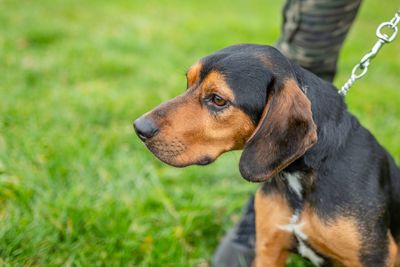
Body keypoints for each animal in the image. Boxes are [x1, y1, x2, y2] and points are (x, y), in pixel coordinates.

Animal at [134, 45, 400, 266]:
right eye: (188, 82)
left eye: (218, 100)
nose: (139, 128)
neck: (300, 178)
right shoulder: (269, 248)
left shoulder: (374, 258)